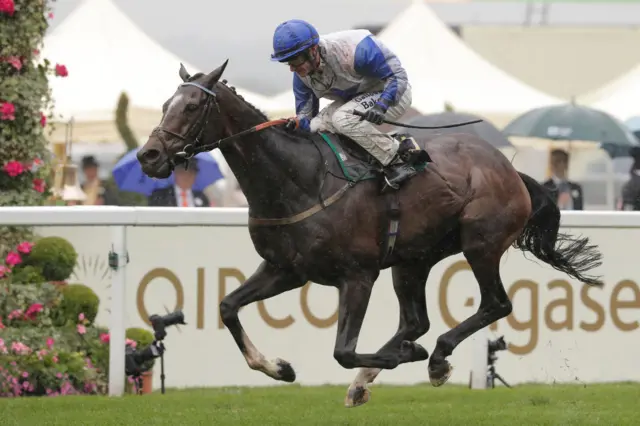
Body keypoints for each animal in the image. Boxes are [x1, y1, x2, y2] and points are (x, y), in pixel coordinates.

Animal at [138, 60, 604, 406]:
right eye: (163, 104)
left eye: (192, 107)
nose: (149, 155)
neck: (297, 178)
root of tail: (510, 169)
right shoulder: (286, 269)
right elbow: (227, 307)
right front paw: (279, 368)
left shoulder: (357, 275)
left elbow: (342, 350)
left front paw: (403, 358)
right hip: (412, 260)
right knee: (416, 320)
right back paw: (373, 374)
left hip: (480, 243)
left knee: (494, 304)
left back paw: (433, 358)